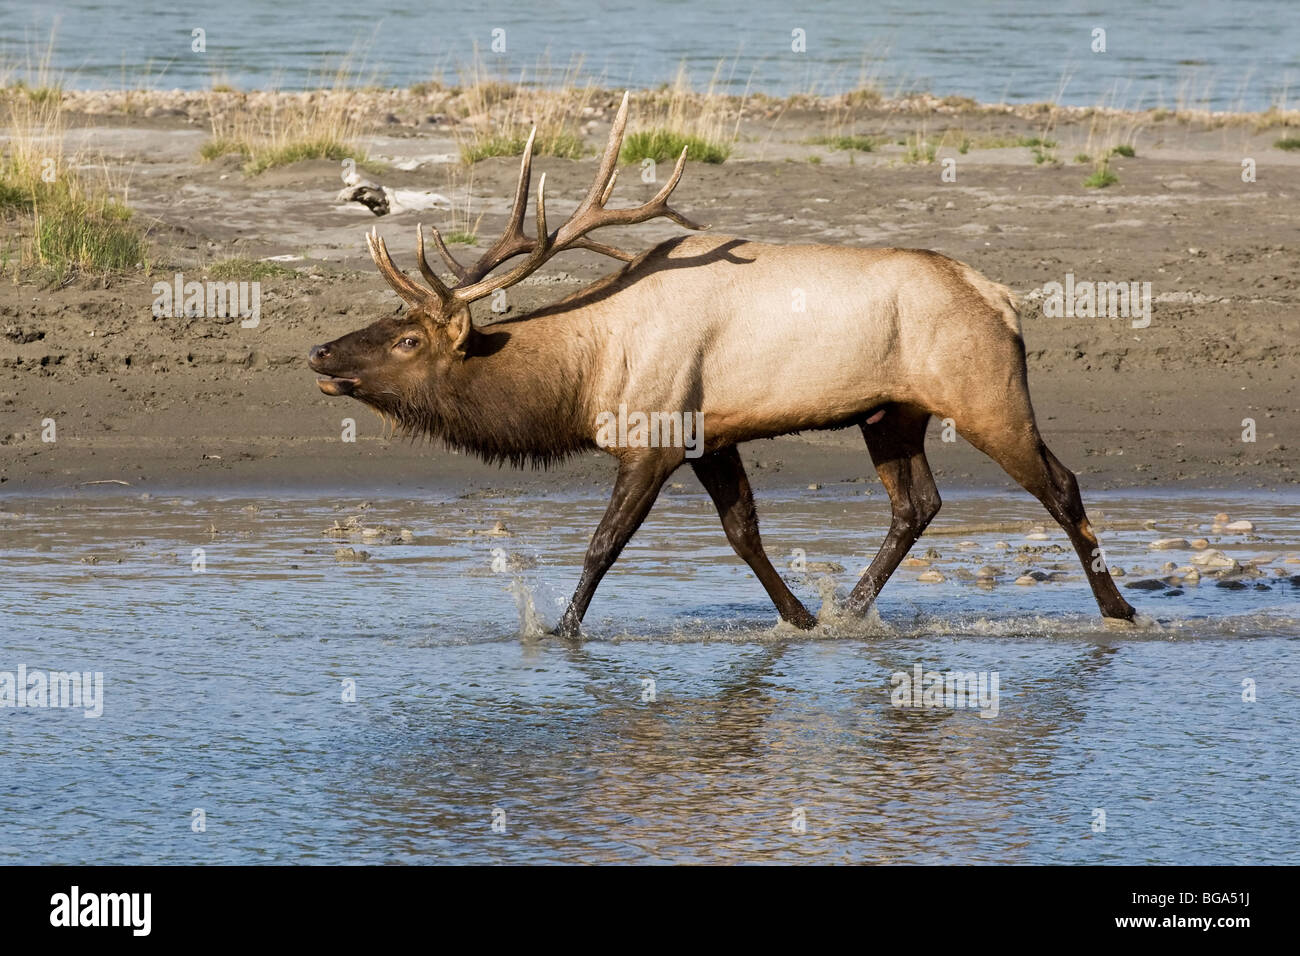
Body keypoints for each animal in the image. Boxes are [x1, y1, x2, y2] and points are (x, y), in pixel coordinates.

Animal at [306, 93, 1138, 639]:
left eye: (409, 340)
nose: (320, 351)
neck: (585, 376)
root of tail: (1002, 299)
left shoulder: (655, 437)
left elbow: (604, 544)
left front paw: (561, 632)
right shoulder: (713, 436)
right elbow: (744, 535)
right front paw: (800, 617)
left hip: (984, 390)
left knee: (1060, 484)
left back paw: (1120, 609)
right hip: (890, 412)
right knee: (917, 505)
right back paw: (851, 610)